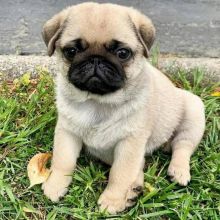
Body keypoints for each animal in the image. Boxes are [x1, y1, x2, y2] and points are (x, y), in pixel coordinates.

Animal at [40, 2, 205, 214]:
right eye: (71, 51)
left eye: (123, 53)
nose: (95, 59)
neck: (98, 102)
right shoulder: (67, 132)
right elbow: (63, 161)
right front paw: (55, 185)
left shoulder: (130, 143)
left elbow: (120, 174)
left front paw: (112, 200)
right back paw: (135, 189)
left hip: (194, 110)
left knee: (182, 146)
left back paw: (178, 171)